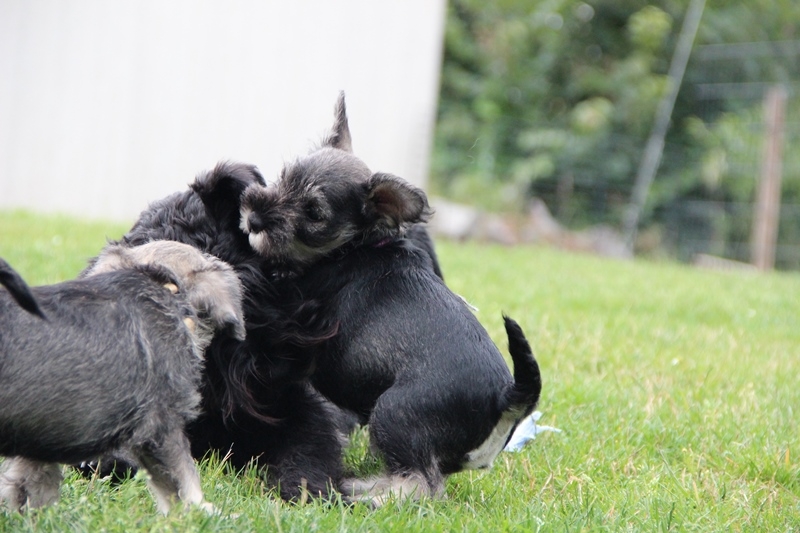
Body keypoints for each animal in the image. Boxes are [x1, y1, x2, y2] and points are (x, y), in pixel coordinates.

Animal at [241, 93, 544, 504]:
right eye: (284, 177)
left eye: (314, 213)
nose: (254, 217)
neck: (356, 245)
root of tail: (506, 399)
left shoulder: (294, 294)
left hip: (393, 414)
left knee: (420, 485)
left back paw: (362, 492)